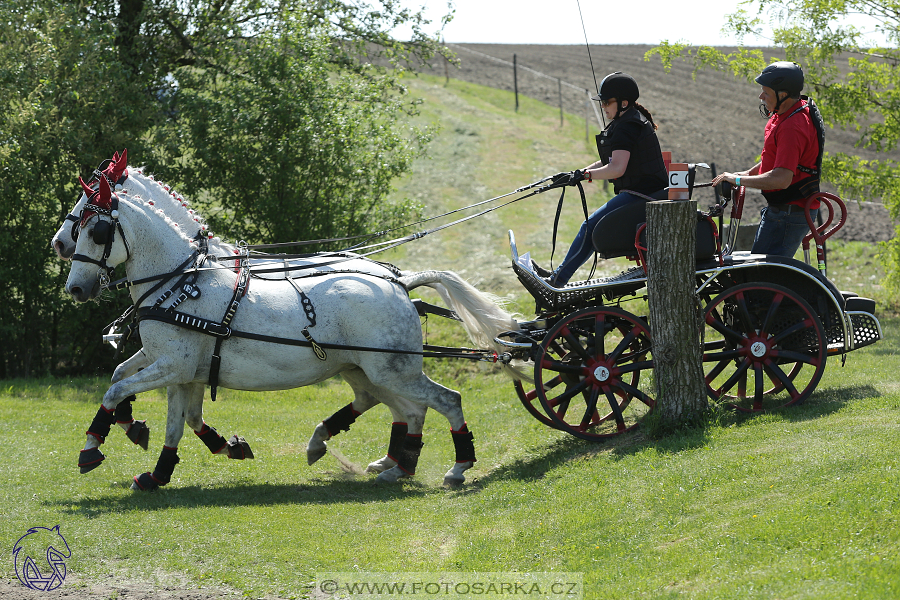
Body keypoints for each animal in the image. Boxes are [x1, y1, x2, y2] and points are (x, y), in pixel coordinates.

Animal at [63, 173, 516, 488]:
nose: (75, 287)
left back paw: (455, 467)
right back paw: (391, 464)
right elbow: (169, 414)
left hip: (393, 369)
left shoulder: (172, 366)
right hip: (368, 369)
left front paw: (91, 449)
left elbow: (116, 390)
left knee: (444, 401)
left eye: (95, 230)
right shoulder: (179, 369)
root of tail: (400, 282)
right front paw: (160, 469)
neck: (182, 280)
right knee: (405, 408)